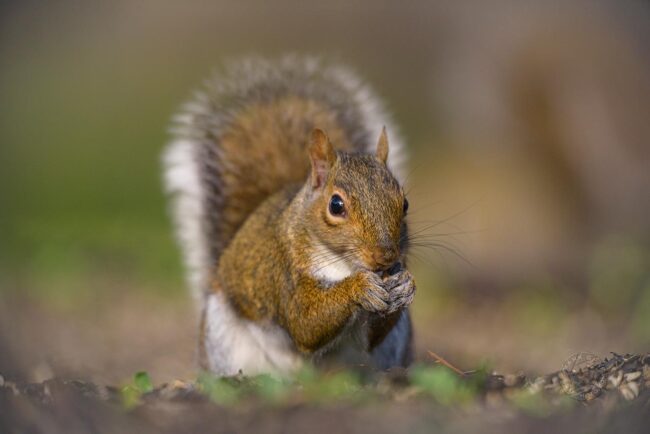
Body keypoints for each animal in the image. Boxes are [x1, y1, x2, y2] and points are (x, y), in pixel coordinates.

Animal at [163, 56, 415, 376]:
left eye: (405, 203)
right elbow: (304, 321)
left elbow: (372, 336)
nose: (385, 256)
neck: (344, 265)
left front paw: (405, 285)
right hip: (223, 337)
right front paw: (358, 288)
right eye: (336, 206)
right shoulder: (283, 272)